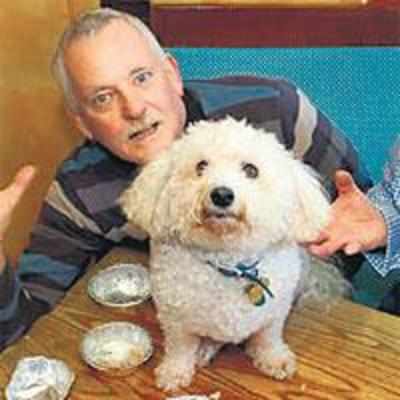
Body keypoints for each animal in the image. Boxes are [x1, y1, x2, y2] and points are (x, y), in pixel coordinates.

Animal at [120, 117, 336, 392]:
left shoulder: (275, 315)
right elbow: (179, 348)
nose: (221, 194)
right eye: (201, 166)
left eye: (251, 170)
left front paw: (273, 359)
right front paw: (174, 372)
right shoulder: (175, 319)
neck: (229, 264)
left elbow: (268, 338)